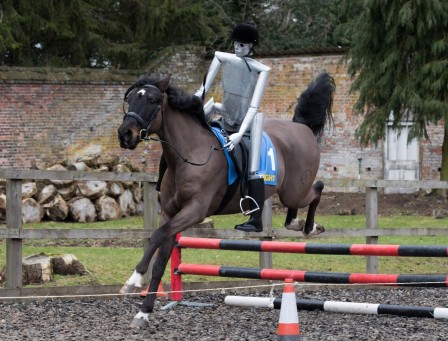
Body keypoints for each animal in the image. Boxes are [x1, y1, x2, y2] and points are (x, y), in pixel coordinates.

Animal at [117, 72, 334, 326]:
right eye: (130, 99)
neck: (188, 154)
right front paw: (144, 311)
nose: (125, 135)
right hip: (290, 192)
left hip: (294, 190)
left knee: (317, 189)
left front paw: (132, 281)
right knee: (301, 203)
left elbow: (157, 236)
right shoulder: (171, 213)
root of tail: (302, 127)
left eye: (152, 101)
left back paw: (309, 227)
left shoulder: (195, 211)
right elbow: (161, 258)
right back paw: (298, 224)